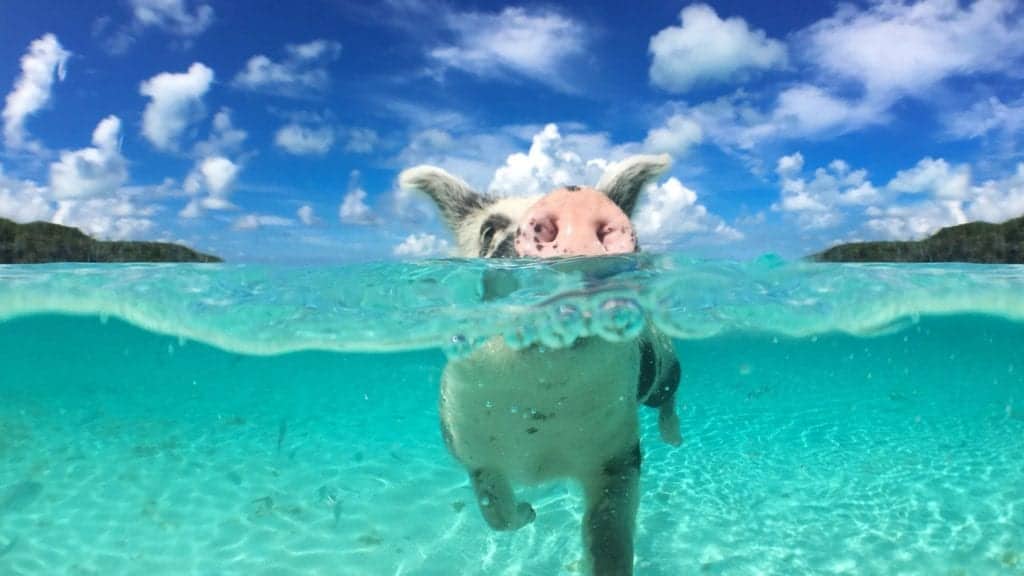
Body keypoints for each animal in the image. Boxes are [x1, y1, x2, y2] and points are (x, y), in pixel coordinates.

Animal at [398, 154, 681, 576]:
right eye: (489, 230)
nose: (576, 200)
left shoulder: (619, 452)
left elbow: (609, 532)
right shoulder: (467, 442)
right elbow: (494, 510)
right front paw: (530, 513)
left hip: (663, 362)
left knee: (667, 395)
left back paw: (673, 437)